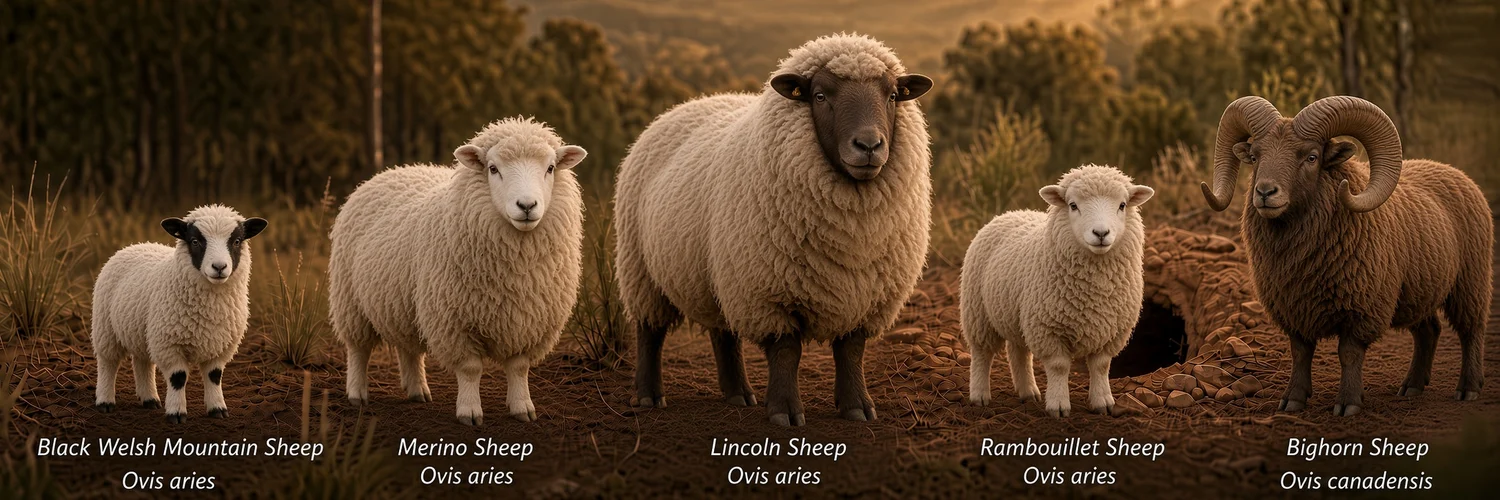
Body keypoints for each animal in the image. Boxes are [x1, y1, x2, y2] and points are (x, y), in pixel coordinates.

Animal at [91, 205, 268, 423]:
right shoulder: (169, 344)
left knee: (142, 362)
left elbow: (214, 376)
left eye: (236, 241)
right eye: (195, 241)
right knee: (108, 363)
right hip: (105, 327)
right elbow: (178, 377)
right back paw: (105, 401)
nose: (219, 267)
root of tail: (135, 245)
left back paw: (149, 399)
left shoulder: (221, 346)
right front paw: (176, 413)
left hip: (143, 331)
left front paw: (217, 409)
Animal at [330, 117, 587, 425]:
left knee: (409, 348)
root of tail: (393, 171)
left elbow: (519, 367)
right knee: (358, 349)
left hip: (404, 303)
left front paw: (522, 407)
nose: (526, 206)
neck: (517, 267)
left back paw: (417, 390)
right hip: (350, 300)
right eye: (493, 168)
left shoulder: (528, 321)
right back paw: (357, 393)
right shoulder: (453, 320)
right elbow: (470, 369)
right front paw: (469, 411)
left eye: (550, 168)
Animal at [614, 33, 935, 426]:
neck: (853, 233)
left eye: (891, 96)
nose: (869, 146)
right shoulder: (768, 293)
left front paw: (858, 406)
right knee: (650, 332)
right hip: (641, 268)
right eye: (820, 96)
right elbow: (786, 352)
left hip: (719, 272)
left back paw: (738, 393)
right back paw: (648, 395)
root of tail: (688, 104)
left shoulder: (870, 298)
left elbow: (851, 351)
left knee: (724, 334)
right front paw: (785, 411)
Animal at [962, 165, 1154, 417]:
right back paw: (979, 395)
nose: (1101, 233)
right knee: (981, 354)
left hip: (1017, 314)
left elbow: (1101, 365)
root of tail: (1011, 213)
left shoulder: (1112, 331)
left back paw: (1028, 392)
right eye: (1073, 205)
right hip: (978, 312)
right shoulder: (1047, 328)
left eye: (1122, 205)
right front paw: (1058, 405)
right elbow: (1059, 367)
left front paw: (1102, 402)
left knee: (1018, 352)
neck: (1096, 290)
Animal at [1201, 95, 1492, 416]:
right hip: (1419, 291)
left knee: (1471, 330)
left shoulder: (1361, 310)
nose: (1265, 193)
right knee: (1429, 331)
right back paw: (1412, 386)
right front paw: (1293, 400)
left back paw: (1468, 388)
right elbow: (1300, 353)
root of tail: (1455, 172)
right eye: (1254, 156)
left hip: (1470, 282)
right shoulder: (1292, 308)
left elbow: (1349, 354)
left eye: (1312, 157)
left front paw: (1348, 404)